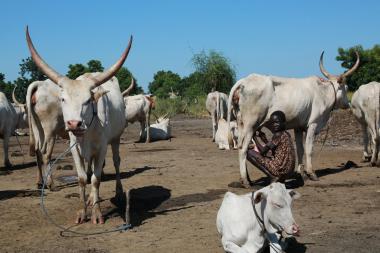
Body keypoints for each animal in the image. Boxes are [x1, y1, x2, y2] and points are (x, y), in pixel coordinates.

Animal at [26, 26, 131, 223]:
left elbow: (96, 178)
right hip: (45, 129)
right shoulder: (74, 146)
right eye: (62, 99)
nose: (74, 124)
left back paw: (117, 191)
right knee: (44, 153)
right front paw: (83, 211)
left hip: (114, 139)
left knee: (116, 161)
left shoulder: (102, 146)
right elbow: (83, 178)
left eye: (88, 100)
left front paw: (97, 213)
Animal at [229, 51, 360, 186]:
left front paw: (301, 173)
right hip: (250, 125)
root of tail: (244, 81)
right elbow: (309, 149)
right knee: (243, 149)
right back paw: (246, 181)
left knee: (240, 146)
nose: (348, 103)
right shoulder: (313, 124)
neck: (323, 93)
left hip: (241, 124)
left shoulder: (298, 127)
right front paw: (311, 173)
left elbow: (300, 150)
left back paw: (246, 179)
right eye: (346, 87)